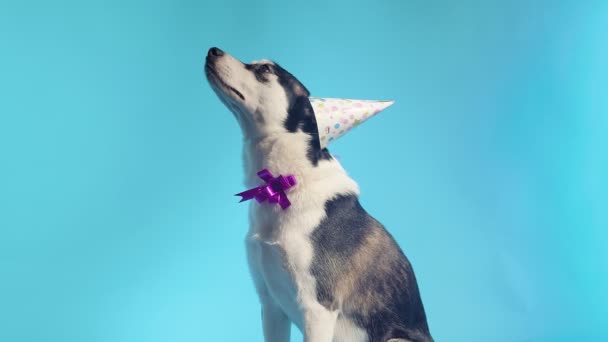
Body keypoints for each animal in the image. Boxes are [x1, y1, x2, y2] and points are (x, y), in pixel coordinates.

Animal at [205, 46, 432, 342]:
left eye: (265, 69)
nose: (213, 50)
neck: (281, 185)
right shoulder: (271, 305)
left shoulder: (317, 308)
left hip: (395, 339)